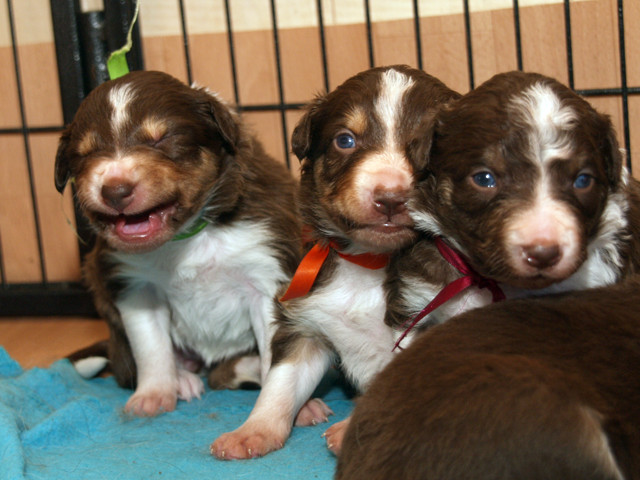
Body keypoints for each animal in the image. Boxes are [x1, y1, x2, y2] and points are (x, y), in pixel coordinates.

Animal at [55, 70, 301, 416]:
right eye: (86, 153)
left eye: (161, 139)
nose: (115, 190)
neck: (187, 237)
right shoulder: (134, 286)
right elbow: (151, 348)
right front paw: (153, 396)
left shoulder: (266, 272)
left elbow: (276, 350)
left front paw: (300, 405)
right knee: (130, 367)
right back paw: (183, 378)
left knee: (220, 372)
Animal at [209, 65, 461, 459]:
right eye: (345, 140)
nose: (390, 197)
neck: (368, 263)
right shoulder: (306, 326)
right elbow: (279, 385)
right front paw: (252, 432)